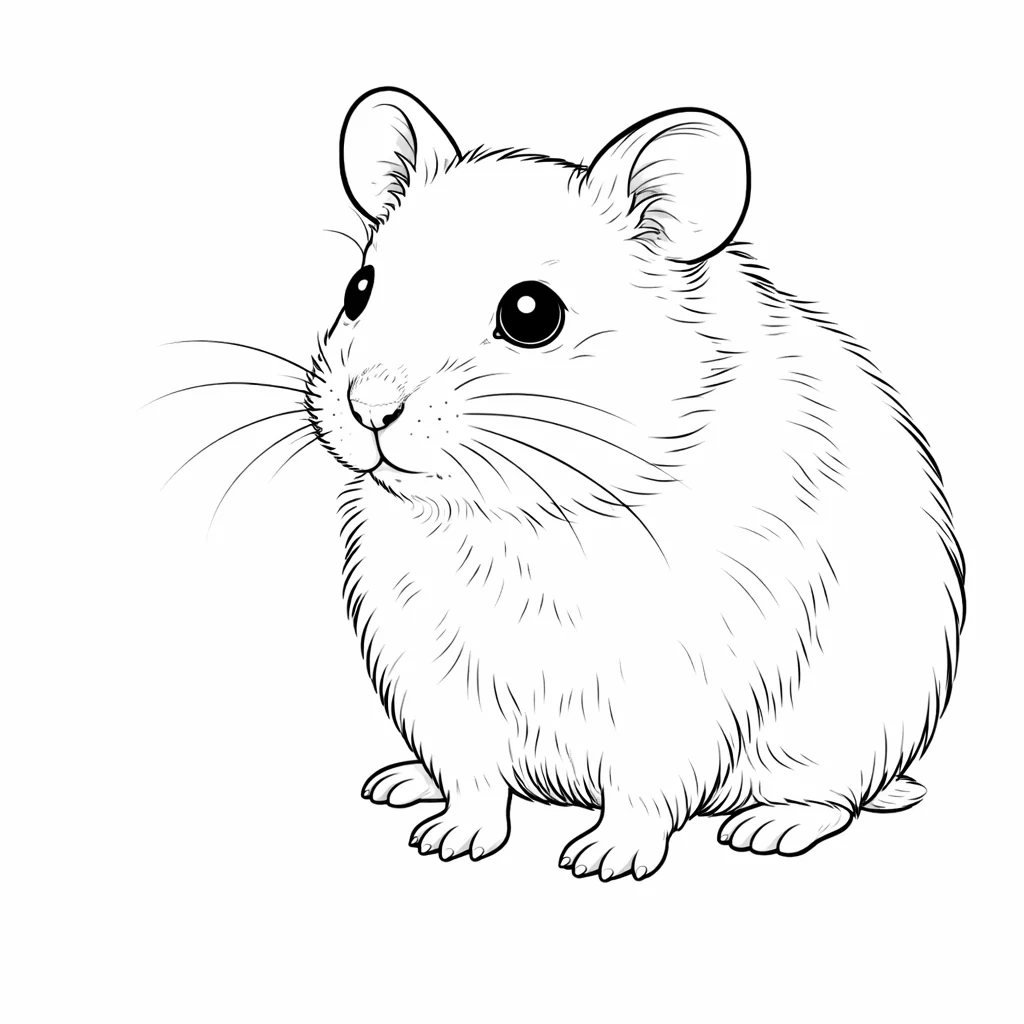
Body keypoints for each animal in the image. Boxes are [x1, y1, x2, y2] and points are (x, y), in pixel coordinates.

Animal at [302, 87, 965, 880]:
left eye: (531, 312)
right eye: (358, 289)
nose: (369, 408)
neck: (519, 512)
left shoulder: (674, 688)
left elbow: (641, 792)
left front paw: (600, 861)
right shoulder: (434, 677)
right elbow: (474, 783)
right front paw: (448, 844)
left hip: (836, 733)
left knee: (837, 798)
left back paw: (768, 829)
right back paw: (399, 782)